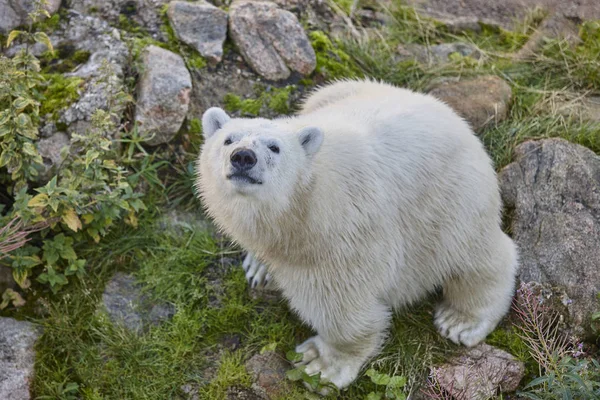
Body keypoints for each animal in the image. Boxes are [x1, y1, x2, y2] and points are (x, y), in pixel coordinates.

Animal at [195, 79, 516, 392]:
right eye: (228, 139)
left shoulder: (345, 228)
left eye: (275, 148)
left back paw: (461, 320)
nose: (243, 157)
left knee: (474, 254)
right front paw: (260, 263)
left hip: (451, 200)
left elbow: (341, 300)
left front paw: (320, 364)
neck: (299, 205)